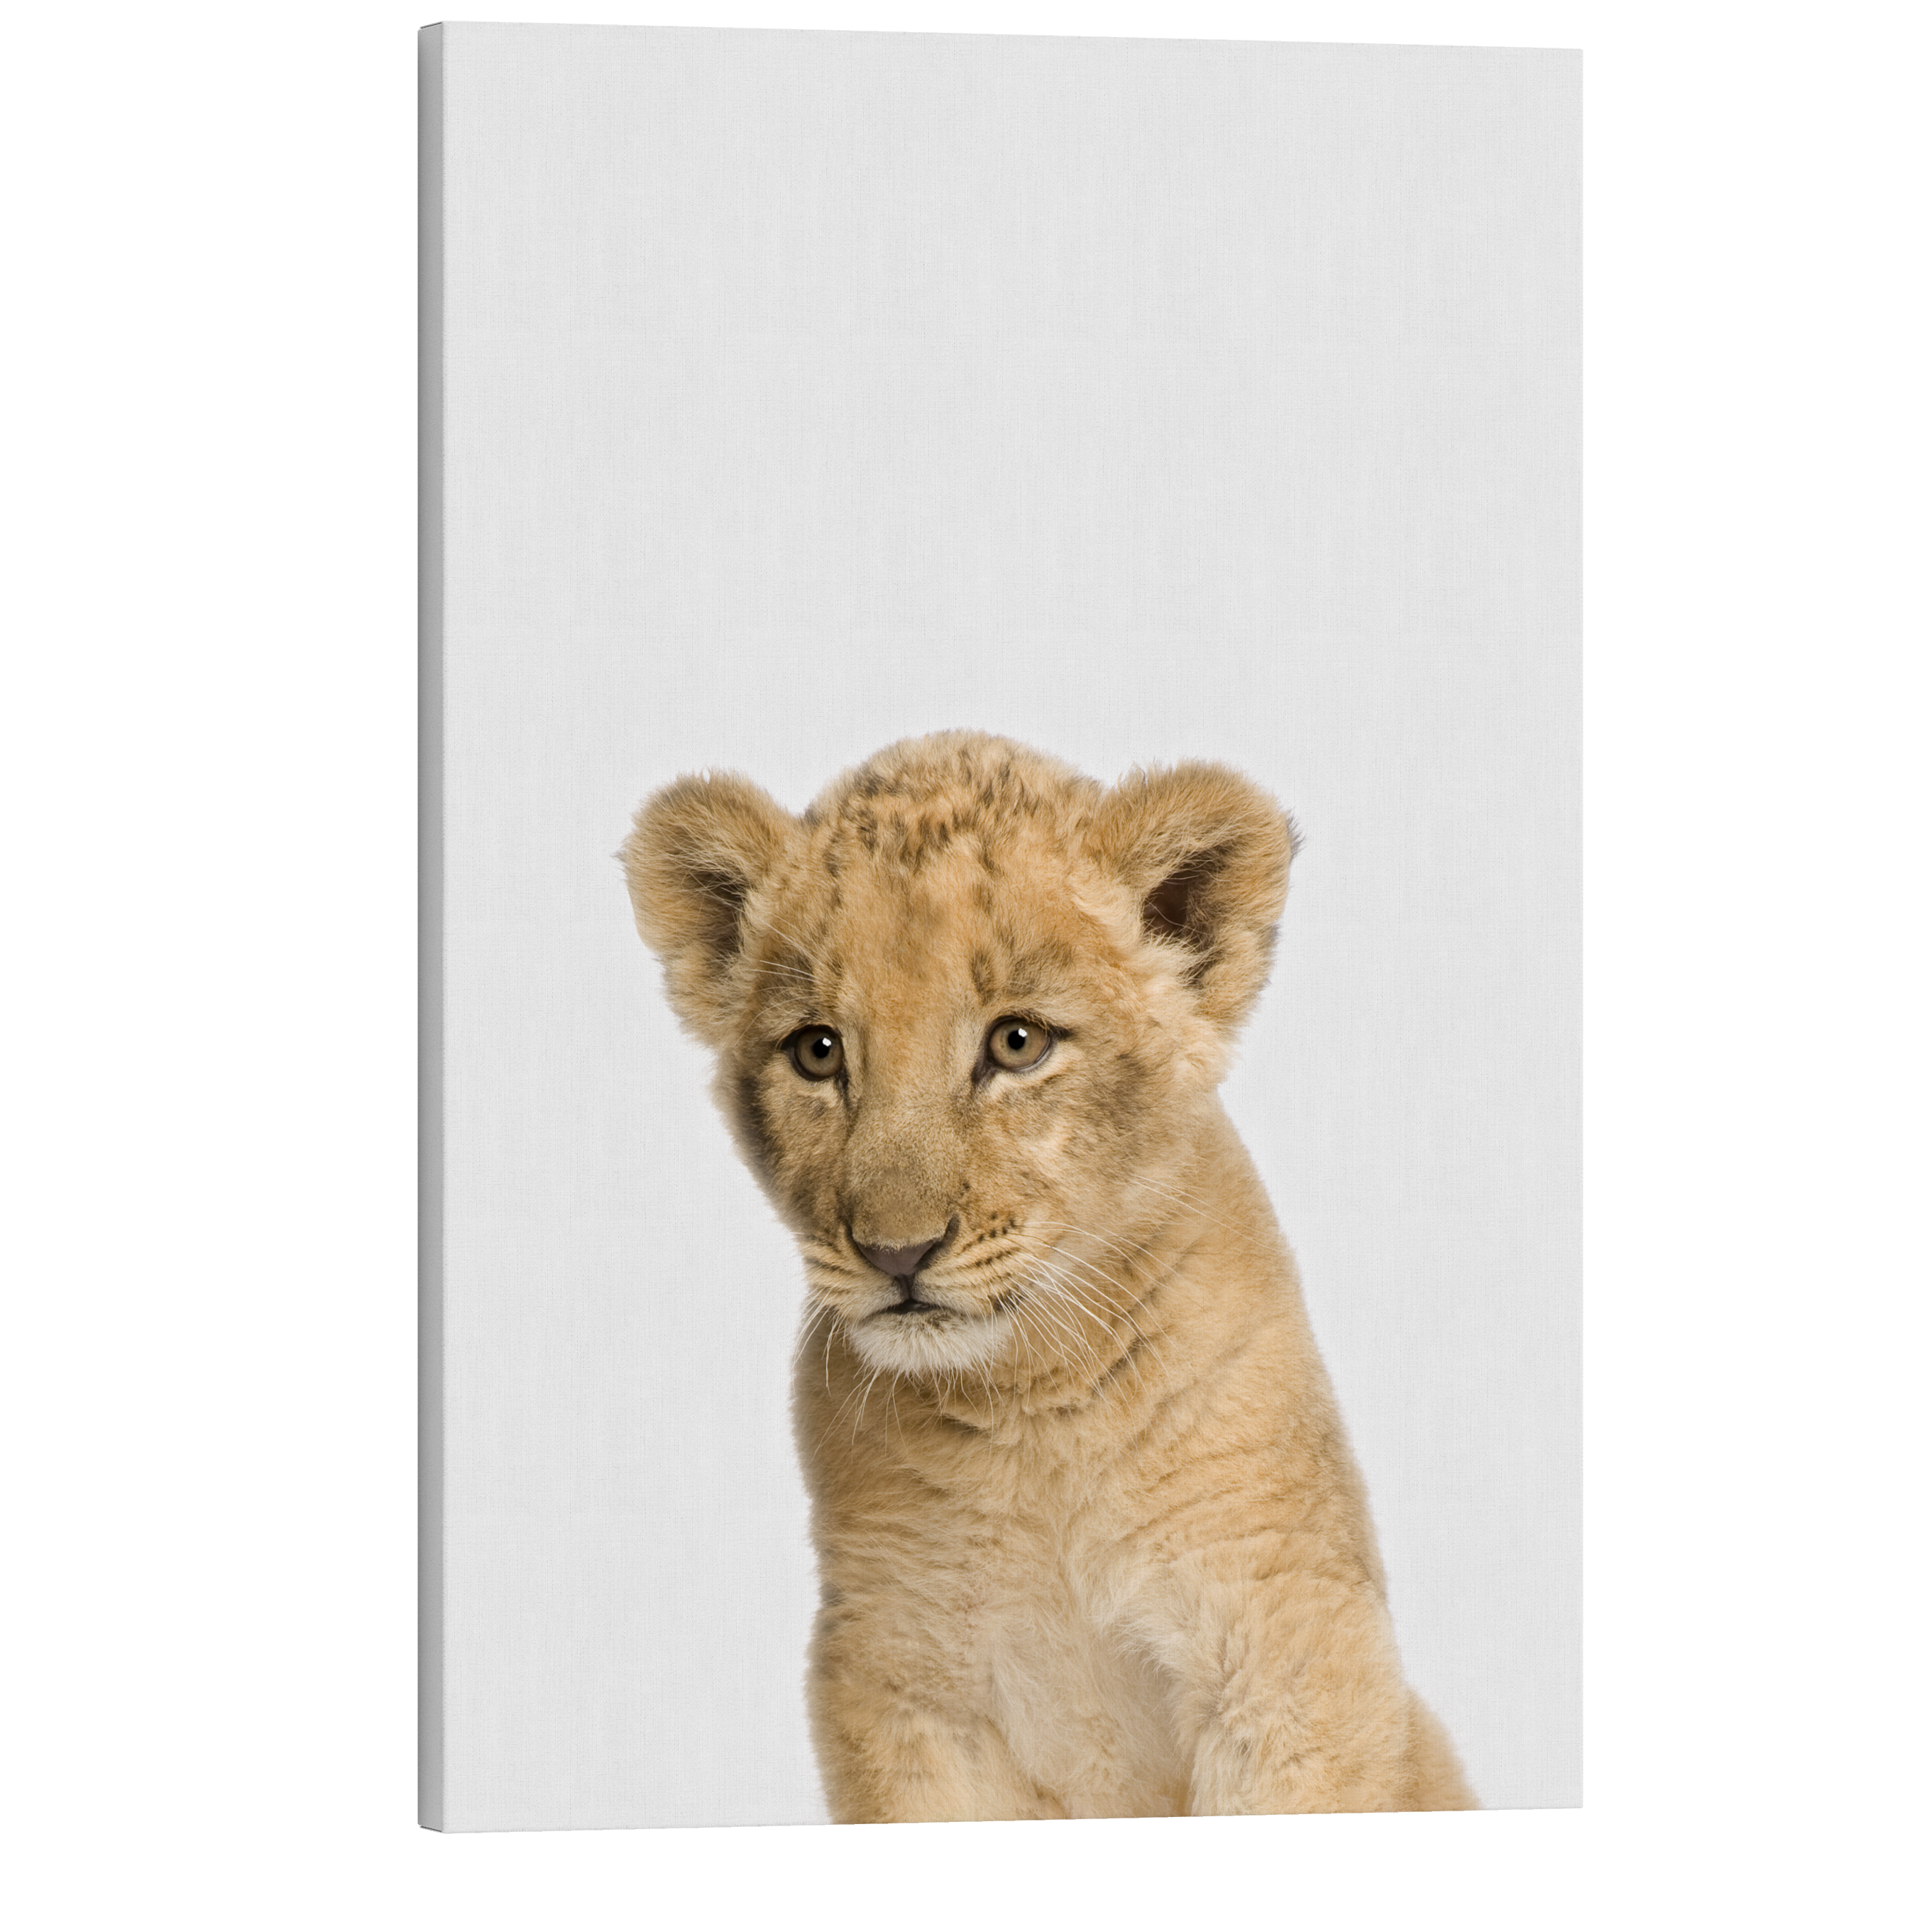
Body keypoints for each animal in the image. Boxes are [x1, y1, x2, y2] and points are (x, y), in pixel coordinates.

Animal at [621, 731, 1474, 1821]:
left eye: (1016, 1042)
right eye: (817, 1051)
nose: (896, 1251)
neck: (1032, 1413)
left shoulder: (1288, 1643)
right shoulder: (894, 1676)